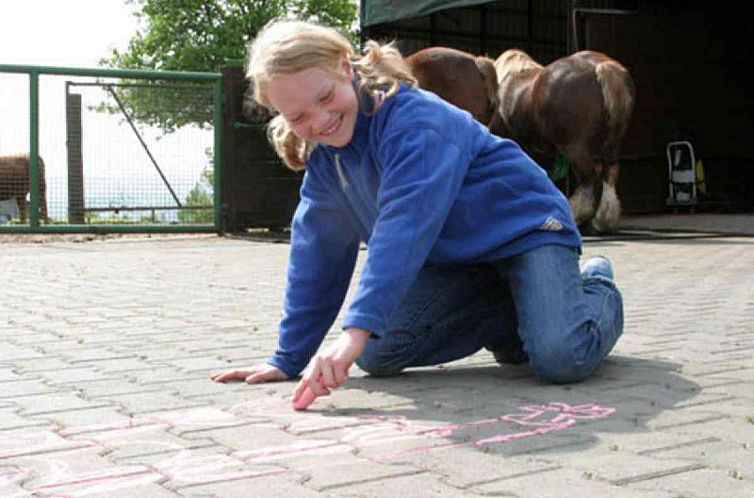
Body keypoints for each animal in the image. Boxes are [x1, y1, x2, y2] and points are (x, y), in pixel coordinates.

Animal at [490, 49, 632, 232]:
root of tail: (602, 66)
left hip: (576, 148)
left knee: (588, 181)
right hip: (611, 146)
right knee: (608, 174)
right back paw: (603, 220)